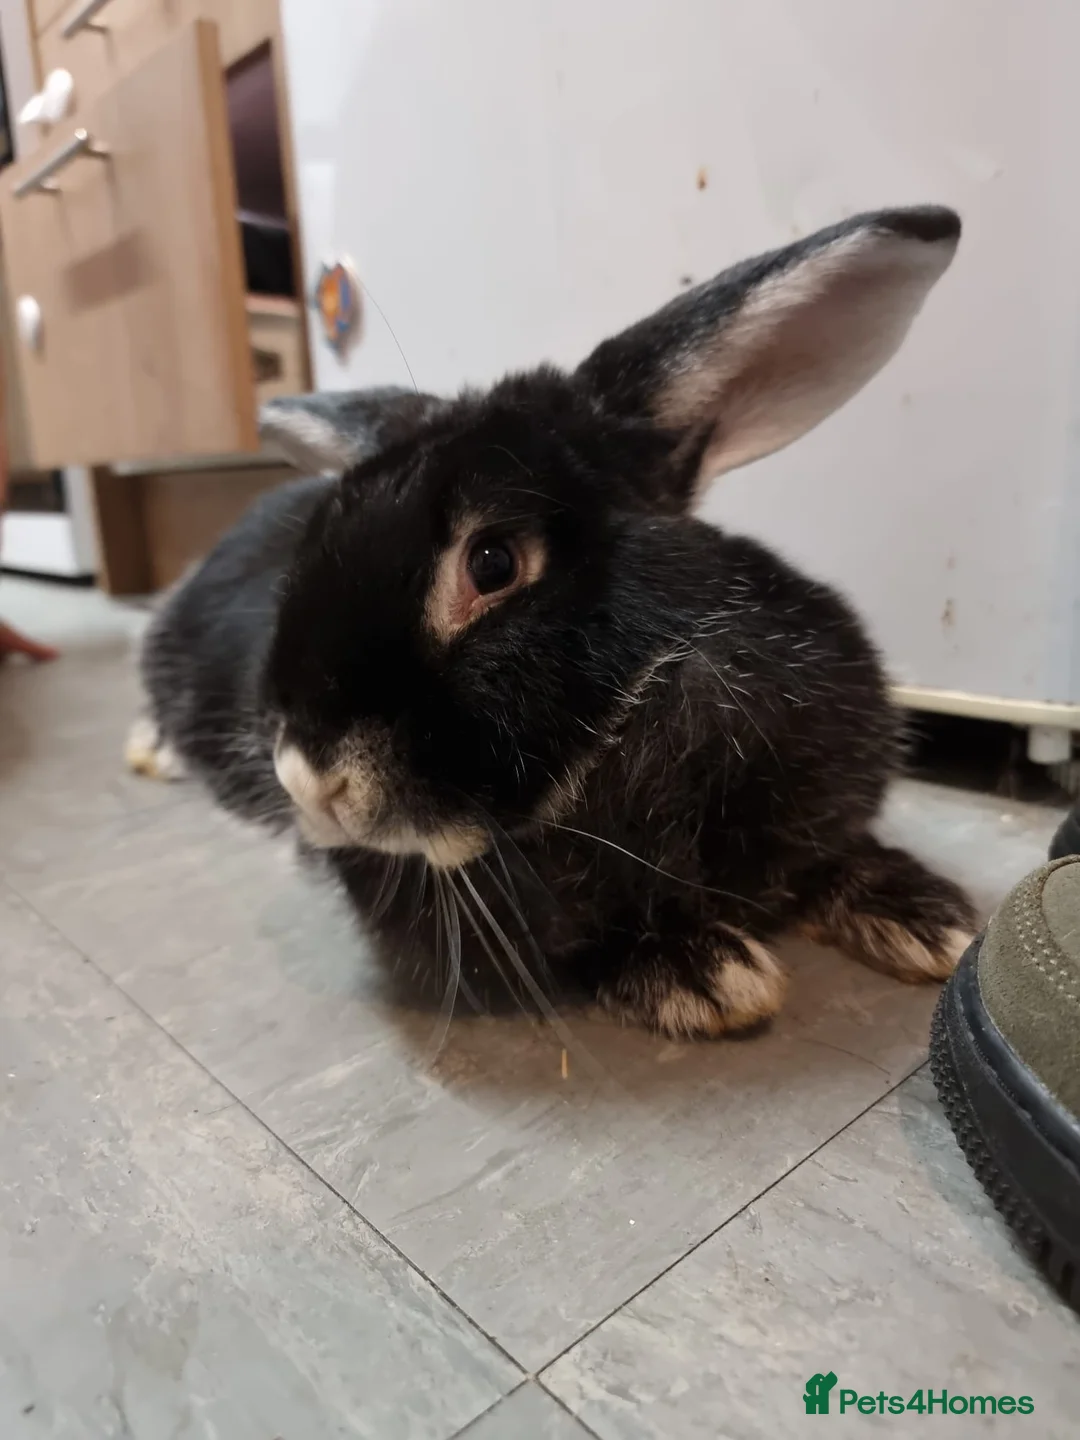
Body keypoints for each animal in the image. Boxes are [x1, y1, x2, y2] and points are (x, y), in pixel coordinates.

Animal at [132, 205, 976, 1038]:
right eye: (312, 544)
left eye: (493, 563)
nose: (308, 784)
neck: (637, 737)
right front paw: (705, 972)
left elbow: (839, 854)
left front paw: (929, 921)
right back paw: (152, 753)